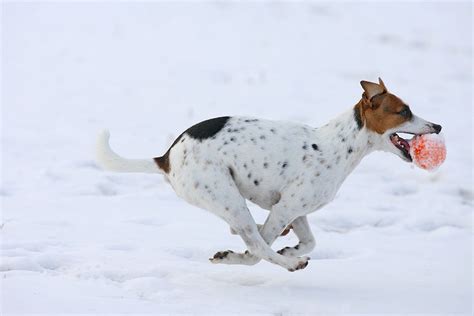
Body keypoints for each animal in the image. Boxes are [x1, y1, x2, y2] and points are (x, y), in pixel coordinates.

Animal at [96, 78, 440, 272]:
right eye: (404, 111)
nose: (437, 126)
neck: (337, 146)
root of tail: (166, 157)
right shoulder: (285, 208)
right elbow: (262, 244)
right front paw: (281, 254)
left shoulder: (296, 211)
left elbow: (309, 241)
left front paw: (290, 247)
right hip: (229, 199)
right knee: (258, 248)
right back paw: (281, 262)